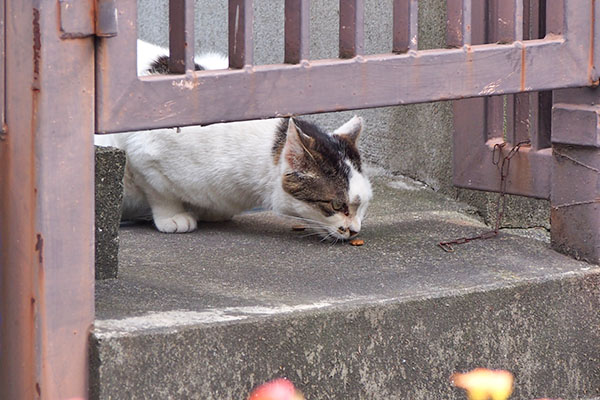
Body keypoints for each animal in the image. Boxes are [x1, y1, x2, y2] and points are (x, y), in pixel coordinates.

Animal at [94, 41, 372, 241]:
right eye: (337, 204)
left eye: (363, 206)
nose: (355, 231)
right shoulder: (142, 154)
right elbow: (160, 192)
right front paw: (173, 216)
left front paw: (208, 212)